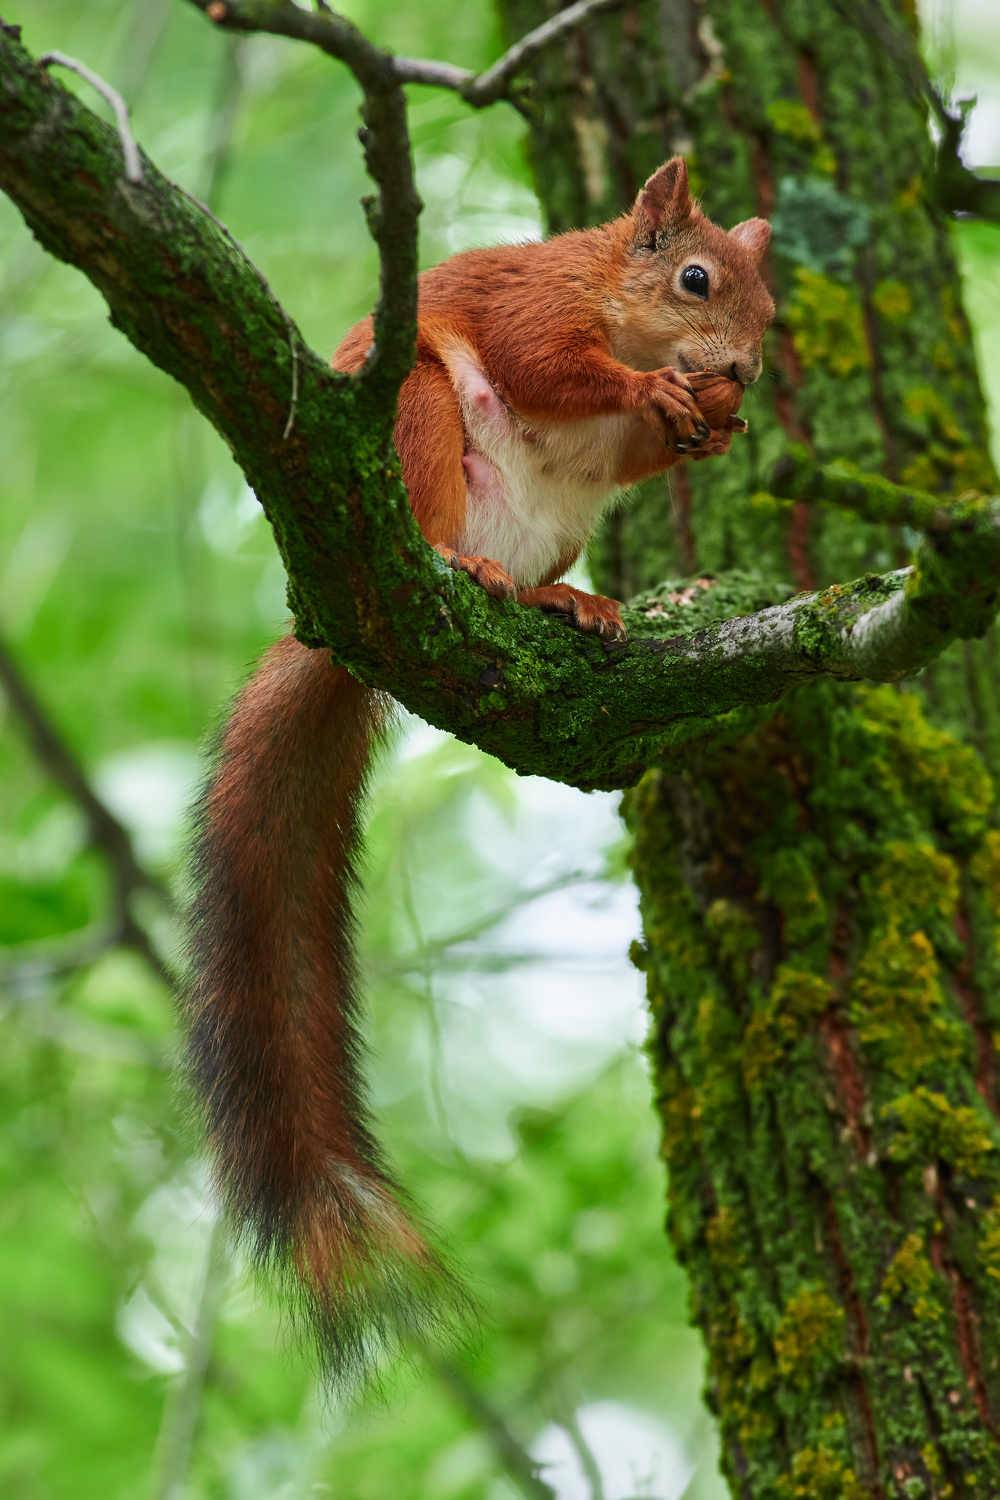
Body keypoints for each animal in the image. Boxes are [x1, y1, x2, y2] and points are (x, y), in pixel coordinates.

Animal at [186, 158, 774, 1384]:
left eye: (773, 308)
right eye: (696, 280)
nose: (743, 371)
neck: (612, 292)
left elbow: (640, 447)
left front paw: (710, 427)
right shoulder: (531, 309)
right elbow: (548, 366)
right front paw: (653, 390)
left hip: (558, 522)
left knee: (542, 562)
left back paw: (563, 601)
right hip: (413, 420)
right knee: (435, 497)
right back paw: (464, 565)